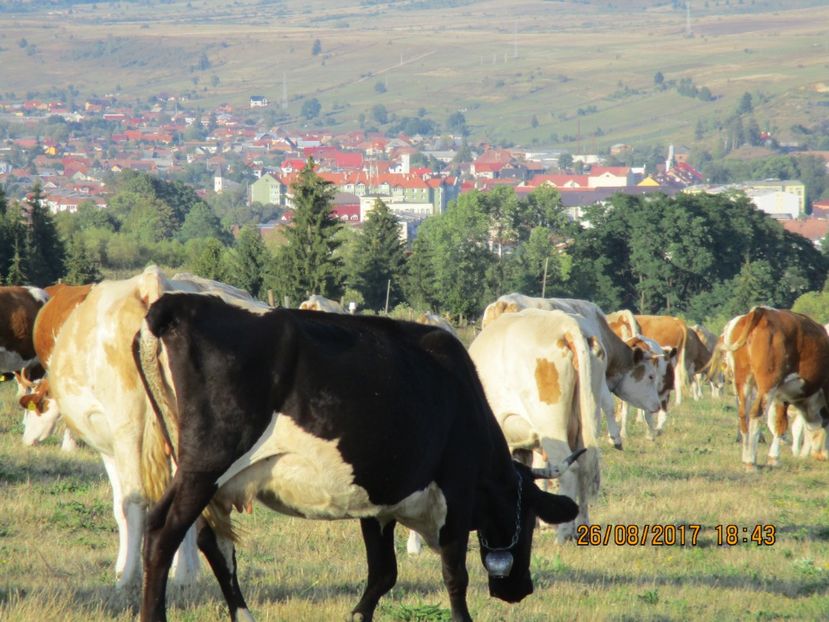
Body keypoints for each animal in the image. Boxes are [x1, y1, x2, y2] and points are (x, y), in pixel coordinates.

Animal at [133, 294, 580, 622]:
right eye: (528, 520)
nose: (521, 588)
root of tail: (175, 304)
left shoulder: (377, 499)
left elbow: (383, 573)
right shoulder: (456, 489)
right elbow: (455, 574)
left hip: (206, 476)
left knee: (213, 542)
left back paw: (244, 616)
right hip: (205, 466)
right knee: (162, 533)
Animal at [720, 308, 828, 468]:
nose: (822, 455)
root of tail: (761, 311)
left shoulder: (782, 396)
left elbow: (780, 424)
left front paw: (774, 458)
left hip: (743, 380)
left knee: (743, 414)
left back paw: (746, 456)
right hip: (768, 383)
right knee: (757, 414)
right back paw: (751, 462)